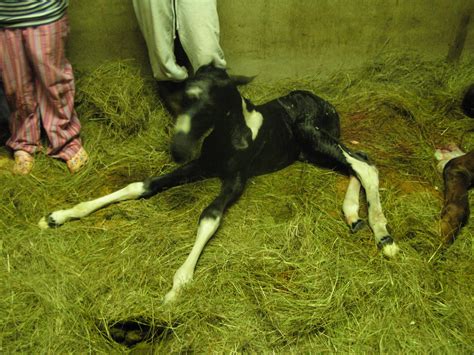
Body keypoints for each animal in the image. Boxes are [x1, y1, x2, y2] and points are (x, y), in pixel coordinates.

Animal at [39, 63, 398, 304]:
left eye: (211, 105)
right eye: (183, 100)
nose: (177, 149)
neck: (230, 136)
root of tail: (328, 105)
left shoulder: (236, 180)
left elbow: (210, 217)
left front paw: (177, 286)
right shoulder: (199, 165)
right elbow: (141, 186)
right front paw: (58, 215)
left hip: (312, 134)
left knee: (364, 164)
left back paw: (383, 235)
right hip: (310, 150)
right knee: (354, 161)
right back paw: (353, 215)